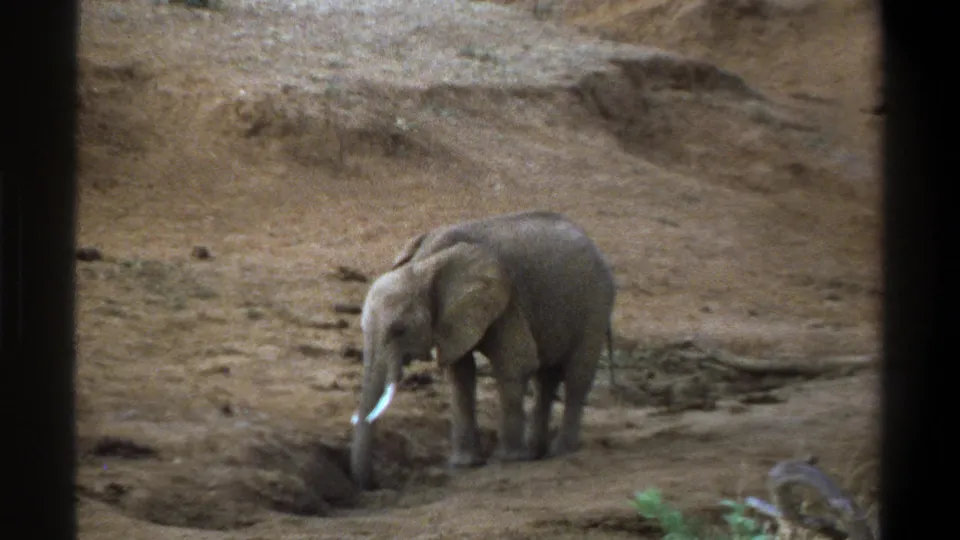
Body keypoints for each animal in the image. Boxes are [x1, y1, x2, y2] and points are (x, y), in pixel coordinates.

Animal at [348, 210, 617, 490]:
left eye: (399, 330)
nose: (375, 483)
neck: (424, 264)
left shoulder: (507, 301)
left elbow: (515, 363)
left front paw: (508, 460)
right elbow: (460, 373)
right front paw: (464, 464)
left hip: (596, 304)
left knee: (577, 375)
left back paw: (561, 451)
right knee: (547, 378)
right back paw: (537, 452)